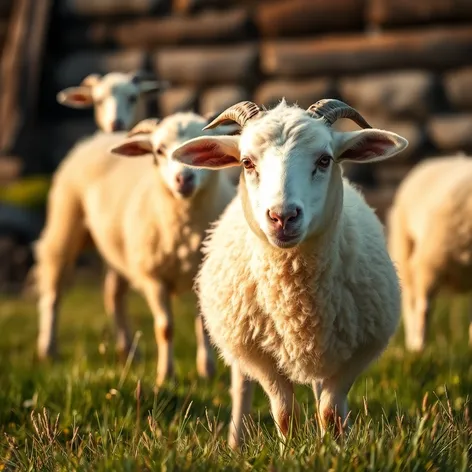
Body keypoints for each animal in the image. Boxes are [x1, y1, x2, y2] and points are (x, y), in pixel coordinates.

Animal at [34, 112, 236, 386]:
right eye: (159, 150)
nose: (183, 179)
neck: (184, 230)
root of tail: (101, 135)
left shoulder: (202, 275)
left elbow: (203, 324)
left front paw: (207, 372)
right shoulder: (153, 278)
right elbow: (165, 328)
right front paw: (165, 376)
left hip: (118, 248)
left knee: (113, 295)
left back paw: (129, 351)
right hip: (66, 222)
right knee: (54, 291)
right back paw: (48, 350)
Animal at [171, 98, 408, 446]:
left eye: (324, 160)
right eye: (246, 163)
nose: (282, 217)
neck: (296, 302)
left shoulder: (358, 351)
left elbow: (330, 411)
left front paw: (336, 447)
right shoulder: (260, 357)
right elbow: (286, 415)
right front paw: (290, 448)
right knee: (241, 389)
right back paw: (236, 441)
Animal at [388, 155, 472, 350]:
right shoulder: (429, 264)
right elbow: (424, 308)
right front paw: (419, 345)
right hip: (405, 245)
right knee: (411, 302)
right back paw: (413, 344)